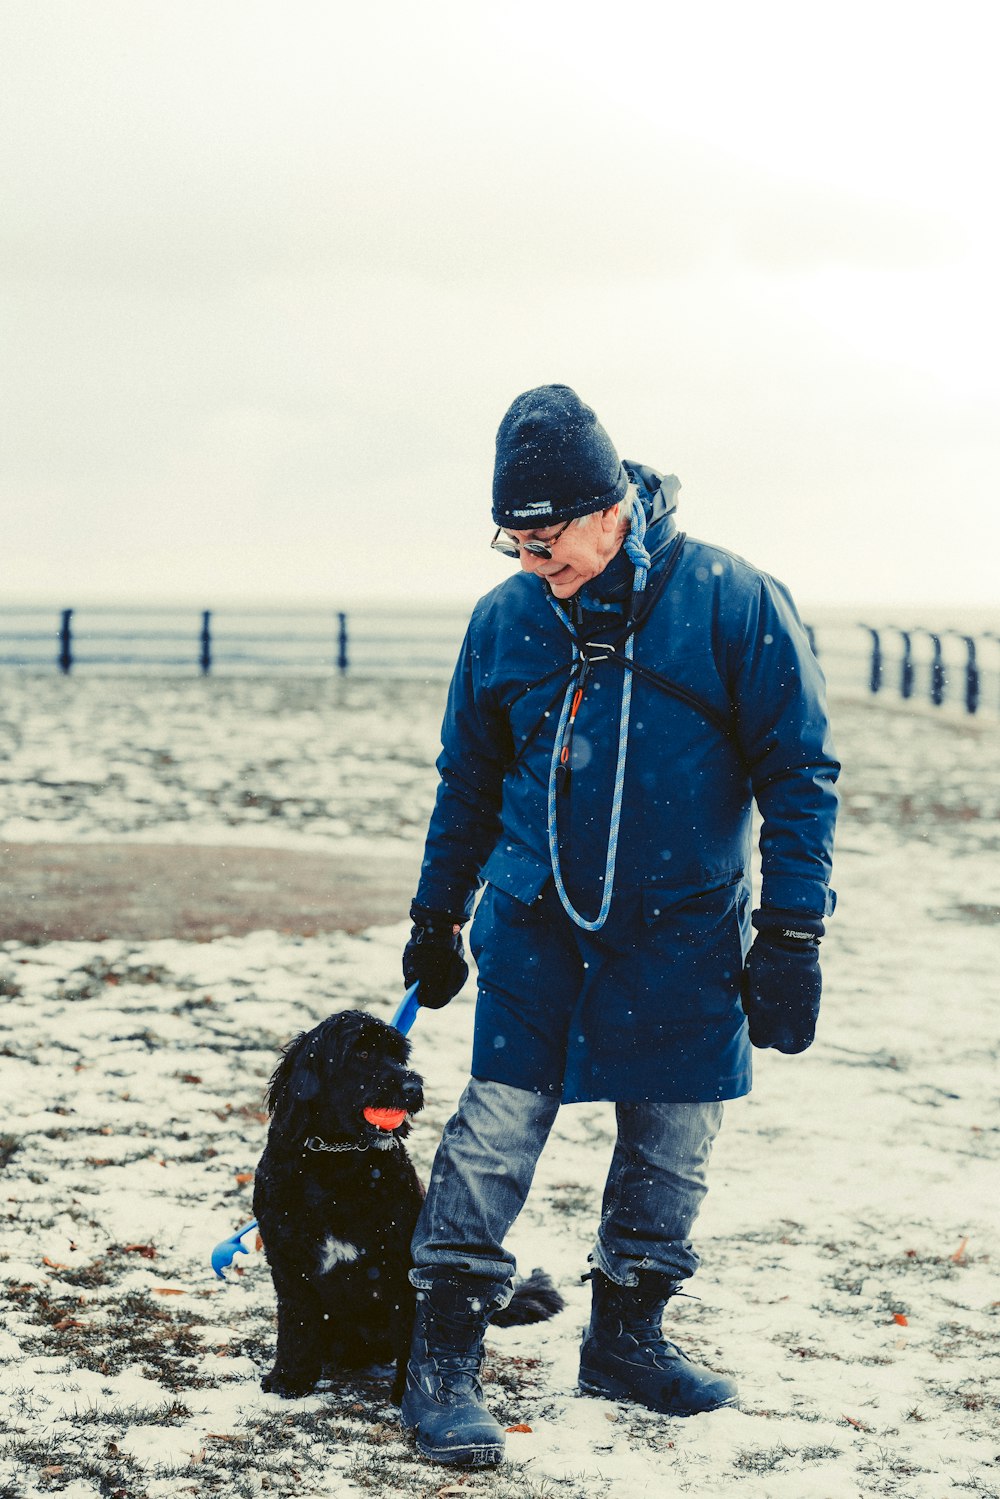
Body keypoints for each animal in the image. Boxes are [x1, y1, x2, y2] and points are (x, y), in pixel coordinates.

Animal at [256, 1013, 563, 1397]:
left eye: (398, 1057)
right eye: (361, 1054)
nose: (412, 1087)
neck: (337, 1161)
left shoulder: (400, 1264)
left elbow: (409, 1330)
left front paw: (409, 1390)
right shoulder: (288, 1262)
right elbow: (296, 1322)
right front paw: (290, 1377)